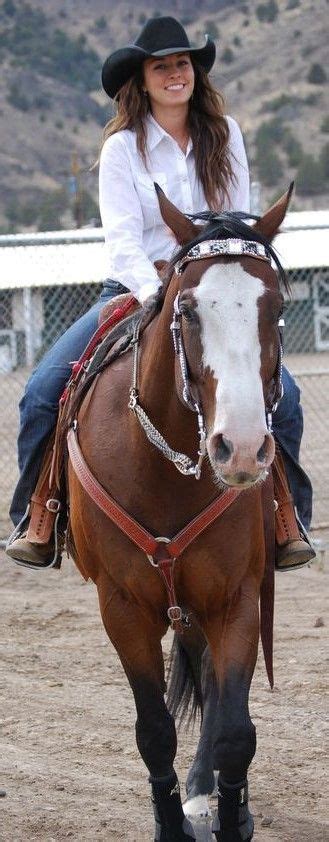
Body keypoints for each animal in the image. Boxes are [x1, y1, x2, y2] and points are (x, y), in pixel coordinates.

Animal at [66, 185, 290, 840]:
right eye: (187, 309)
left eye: (276, 306)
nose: (241, 447)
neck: (167, 471)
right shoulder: (121, 607)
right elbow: (154, 732)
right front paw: (172, 823)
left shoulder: (238, 596)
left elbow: (235, 729)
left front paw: (230, 814)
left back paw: (204, 791)